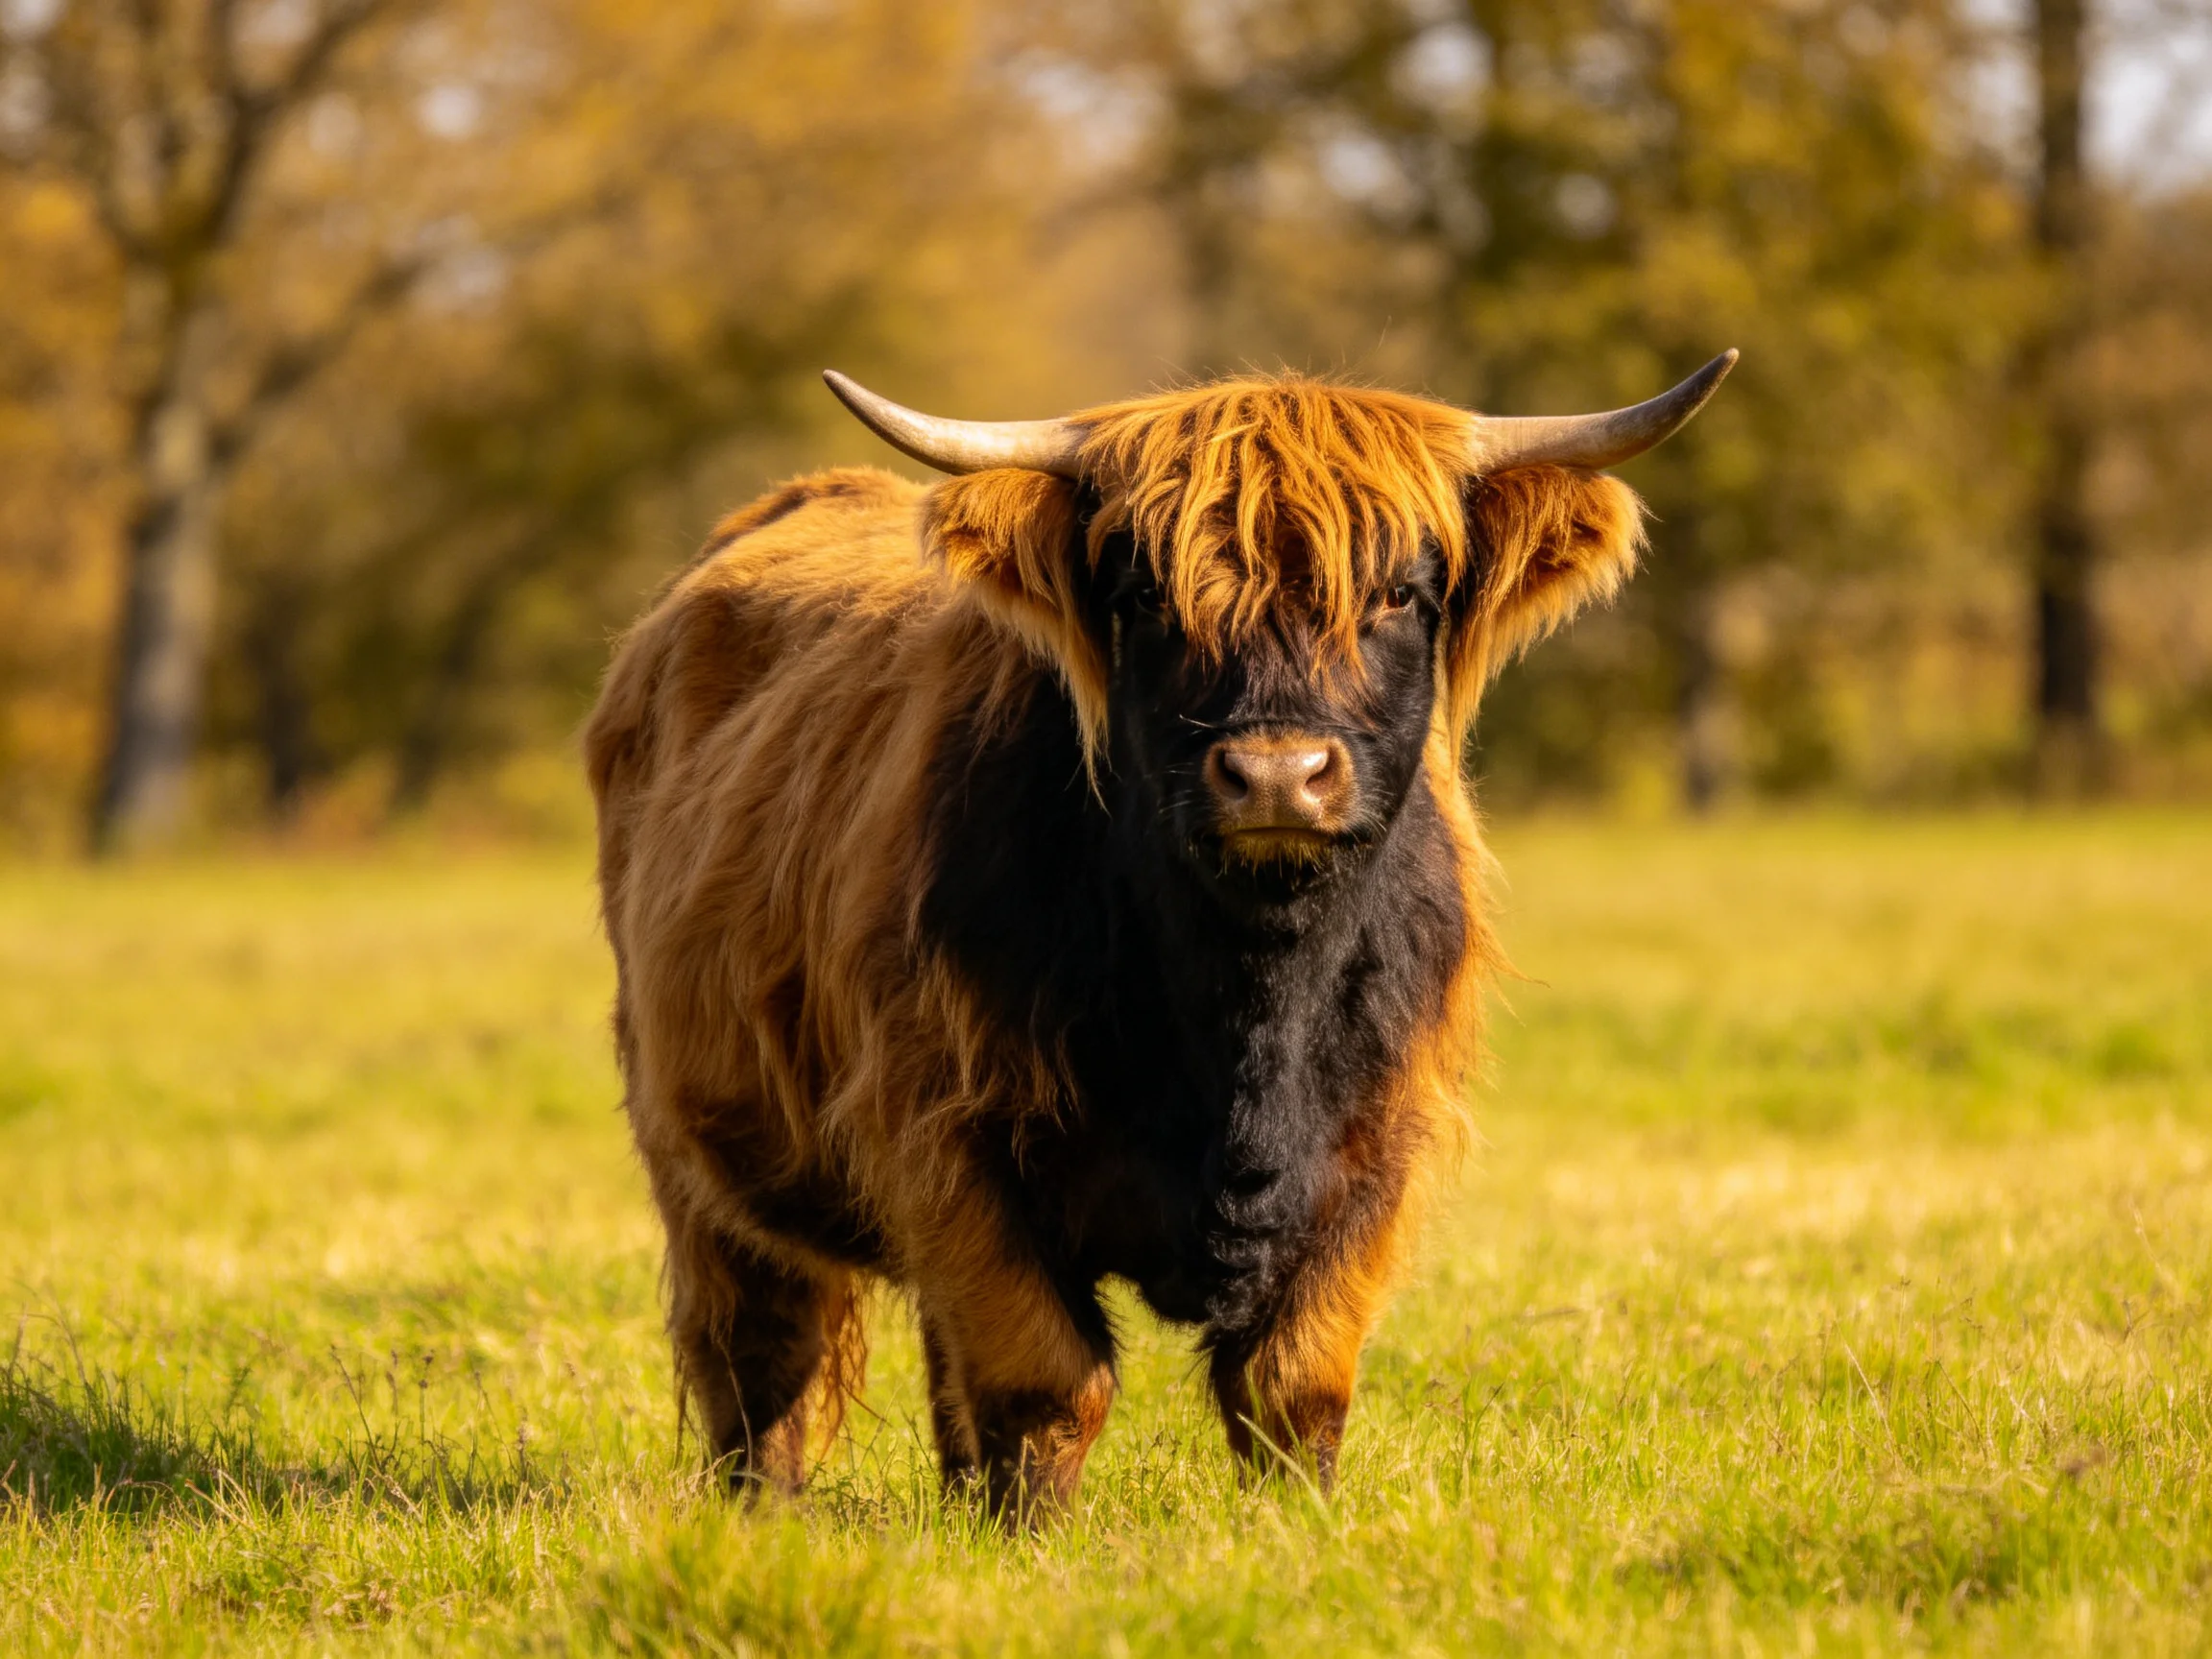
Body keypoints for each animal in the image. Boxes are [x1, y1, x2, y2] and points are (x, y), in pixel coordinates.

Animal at [584, 354, 1735, 1518]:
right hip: (693, 1146)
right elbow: (1046, 1379)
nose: (1277, 774)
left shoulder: (1380, 1146)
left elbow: (1292, 1382)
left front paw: (1293, 1527)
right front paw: (1030, 1538)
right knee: (758, 1344)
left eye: (1399, 594)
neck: (1246, 999)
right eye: (1146, 597)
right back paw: (760, 1510)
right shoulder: (949, 1136)